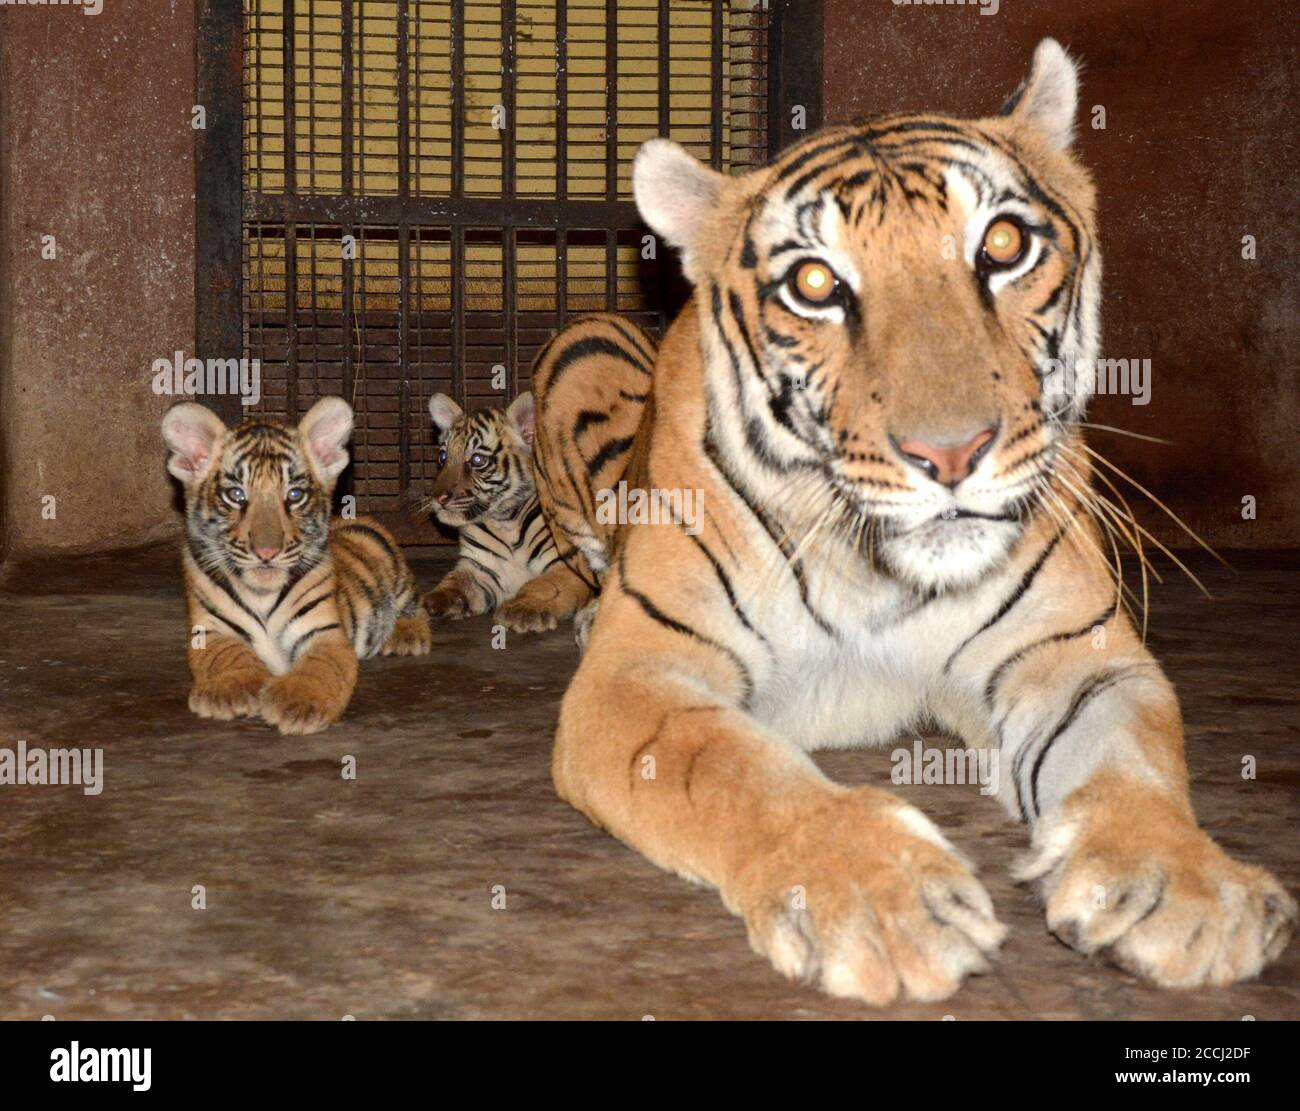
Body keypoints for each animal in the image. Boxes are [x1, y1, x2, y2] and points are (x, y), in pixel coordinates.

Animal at [533, 41, 1294, 1008]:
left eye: (1003, 245)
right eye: (815, 283)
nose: (951, 452)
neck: (874, 569)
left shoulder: (1075, 656)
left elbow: (1133, 765)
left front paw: (1181, 887)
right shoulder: (636, 676)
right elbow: (735, 768)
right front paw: (880, 897)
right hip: (579, 355)